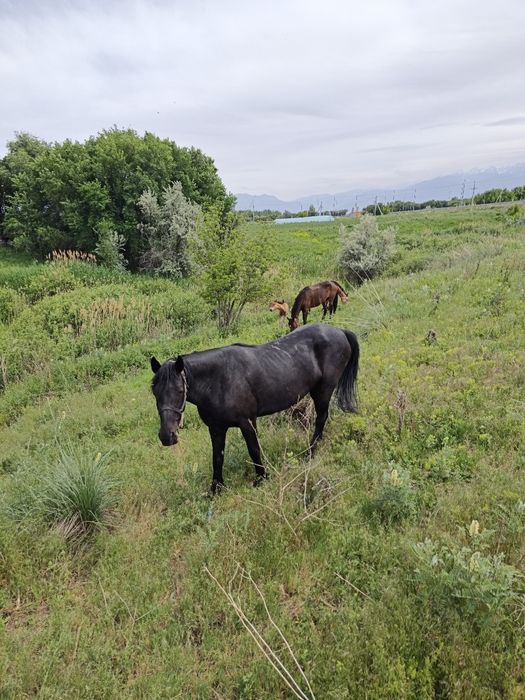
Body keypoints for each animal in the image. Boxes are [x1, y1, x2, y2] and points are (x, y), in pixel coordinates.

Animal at [150, 323, 359, 493]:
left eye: (179, 390)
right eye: (154, 391)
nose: (166, 436)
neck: (219, 380)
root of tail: (339, 331)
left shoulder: (247, 422)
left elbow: (254, 450)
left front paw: (261, 479)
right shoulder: (216, 428)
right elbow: (217, 457)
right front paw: (216, 489)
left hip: (323, 391)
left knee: (321, 418)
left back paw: (309, 453)